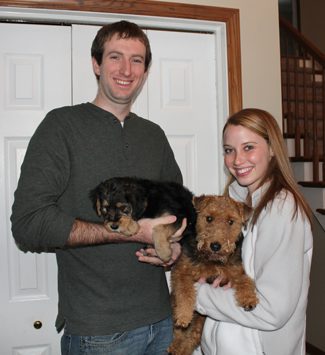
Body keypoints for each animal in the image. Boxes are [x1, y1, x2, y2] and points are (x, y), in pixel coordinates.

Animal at [168, 196, 256, 354]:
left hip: (199, 325)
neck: (212, 261)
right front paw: (184, 315)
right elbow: (185, 292)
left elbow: (245, 281)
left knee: (189, 340)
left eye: (231, 221)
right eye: (209, 218)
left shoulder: (235, 273)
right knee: (179, 334)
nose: (215, 246)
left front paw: (249, 299)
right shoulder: (181, 271)